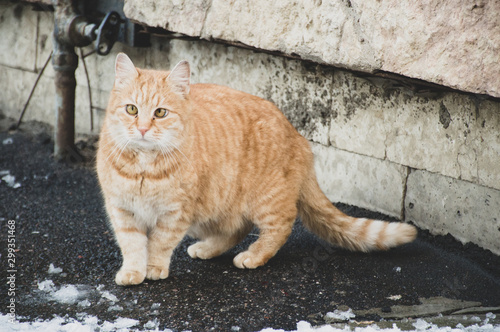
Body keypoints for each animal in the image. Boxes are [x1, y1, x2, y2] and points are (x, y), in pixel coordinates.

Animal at [95, 53, 416, 286]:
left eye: (160, 112)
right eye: (132, 109)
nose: (143, 129)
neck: (144, 169)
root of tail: (299, 137)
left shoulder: (175, 214)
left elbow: (160, 244)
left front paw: (154, 267)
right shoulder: (122, 210)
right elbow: (132, 244)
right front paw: (134, 271)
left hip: (264, 200)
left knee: (280, 226)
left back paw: (255, 255)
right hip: (212, 209)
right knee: (237, 228)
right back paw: (207, 248)